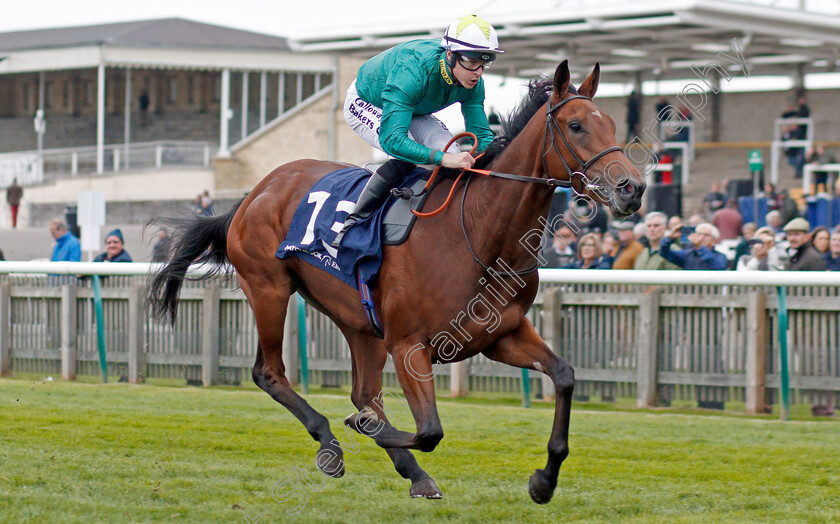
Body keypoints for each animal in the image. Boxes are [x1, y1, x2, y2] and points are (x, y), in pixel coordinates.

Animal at [148, 61, 644, 504]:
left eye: (612, 123)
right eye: (576, 125)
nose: (632, 188)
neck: (479, 232)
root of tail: (254, 193)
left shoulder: (500, 335)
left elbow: (564, 376)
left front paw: (544, 480)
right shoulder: (409, 345)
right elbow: (429, 431)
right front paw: (363, 432)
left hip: (358, 320)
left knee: (363, 391)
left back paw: (408, 469)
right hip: (269, 288)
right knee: (270, 373)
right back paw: (332, 444)